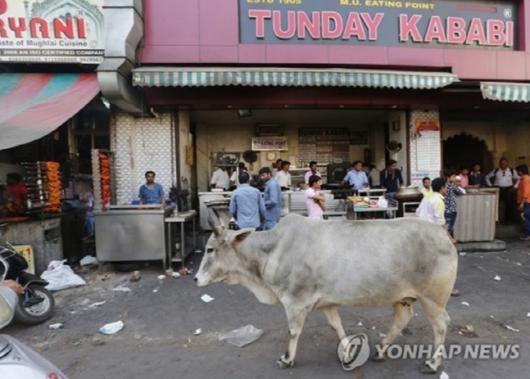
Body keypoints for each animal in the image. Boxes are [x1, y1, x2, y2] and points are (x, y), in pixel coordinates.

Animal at [196, 214, 456, 374]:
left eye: (210, 249)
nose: (196, 278)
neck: (272, 250)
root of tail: (444, 234)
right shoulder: (326, 303)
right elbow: (337, 326)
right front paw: (348, 352)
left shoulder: (295, 302)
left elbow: (293, 332)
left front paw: (287, 359)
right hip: (403, 298)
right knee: (402, 319)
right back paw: (381, 351)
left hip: (433, 300)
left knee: (441, 325)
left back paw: (432, 364)